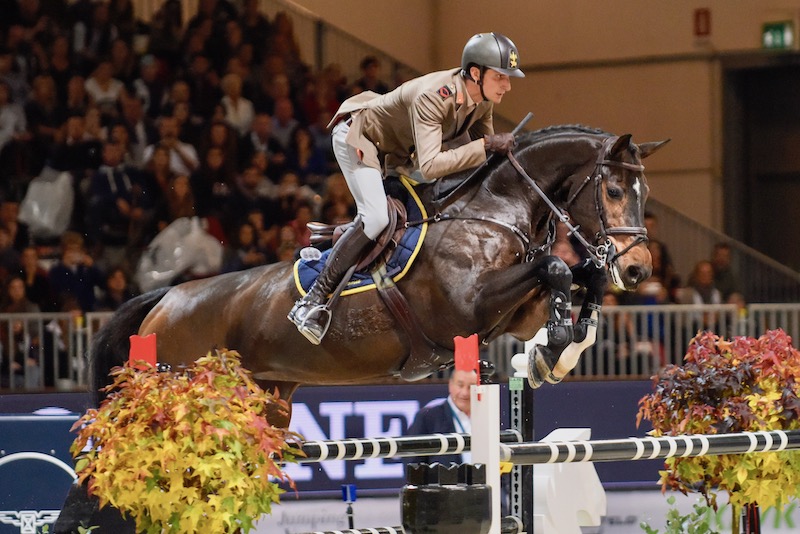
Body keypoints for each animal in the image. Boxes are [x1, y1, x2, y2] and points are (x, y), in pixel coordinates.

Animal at [92, 124, 668, 428]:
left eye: (645, 193)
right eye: (615, 191)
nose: (638, 269)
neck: (493, 208)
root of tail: (166, 296)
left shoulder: (513, 312)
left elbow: (576, 278)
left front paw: (557, 351)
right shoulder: (470, 306)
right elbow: (555, 268)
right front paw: (557, 345)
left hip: (267, 398)